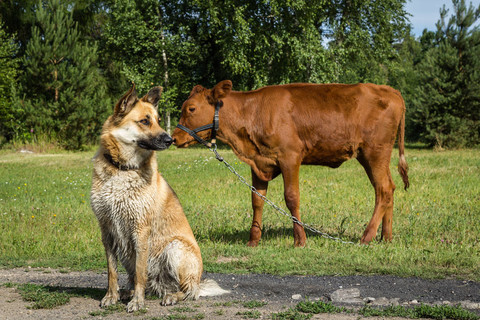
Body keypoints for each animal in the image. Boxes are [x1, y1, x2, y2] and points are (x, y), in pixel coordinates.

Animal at [90, 85, 229, 312]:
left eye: (158, 120)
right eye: (144, 121)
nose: (170, 140)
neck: (122, 169)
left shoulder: (140, 230)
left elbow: (140, 273)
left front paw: (137, 302)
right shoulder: (107, 230)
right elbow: (112, 271)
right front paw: (111, 296)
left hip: (175, 248)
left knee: (188, 291)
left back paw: (170, 296)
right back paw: (127, 292)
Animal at [172, 81, 408, 246]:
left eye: (191, 108)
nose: (174, 138)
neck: (252, 113)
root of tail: (388, 90)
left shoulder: (290, 157)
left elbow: (292, 197)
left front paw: (300, 240)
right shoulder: (259, 162)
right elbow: (257, 200)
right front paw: (253, 240)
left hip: (374, 151)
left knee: (383, 190)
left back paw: (366, 237)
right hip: (372, 155)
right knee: (389, 188)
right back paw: (386, 237)